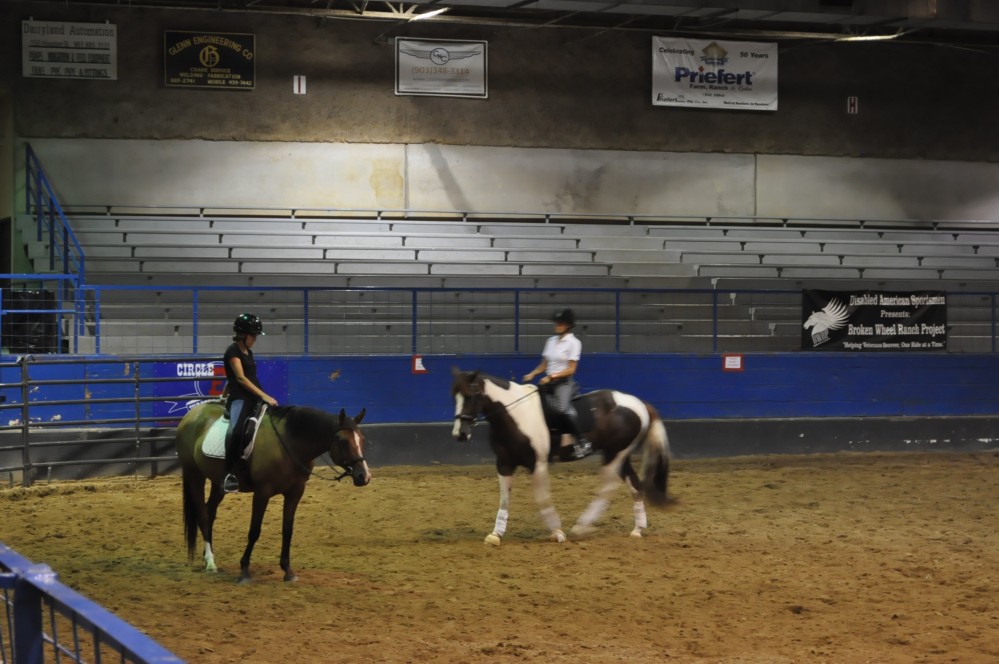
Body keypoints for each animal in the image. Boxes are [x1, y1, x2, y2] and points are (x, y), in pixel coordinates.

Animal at [176, 400, 372, 580]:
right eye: (343, 441)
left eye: (362, 440)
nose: (364, 476)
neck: (289, 444)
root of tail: (191, 415)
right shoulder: (262, 493)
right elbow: (254, 531)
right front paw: (244, 569)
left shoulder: (295, 492)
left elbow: (287, 529)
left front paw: (287, 570)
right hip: (194, 474)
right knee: (202, 515)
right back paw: (210, 562)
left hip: (218, 483)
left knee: (210, 512)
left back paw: (207, 558)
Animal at [452, 368, 672, 544]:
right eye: (455, 396)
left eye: (472, 395)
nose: (460, 434)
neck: (514, 415)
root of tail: (640, 403)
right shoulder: (504, 463)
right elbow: (505, 499)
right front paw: (496, 534)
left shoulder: (538, 464)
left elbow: (543, 498)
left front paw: (557, 532)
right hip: (621, 454)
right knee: (635, 485)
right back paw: (637, 530)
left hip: (614, 454)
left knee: (608, 487)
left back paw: (581, 527)